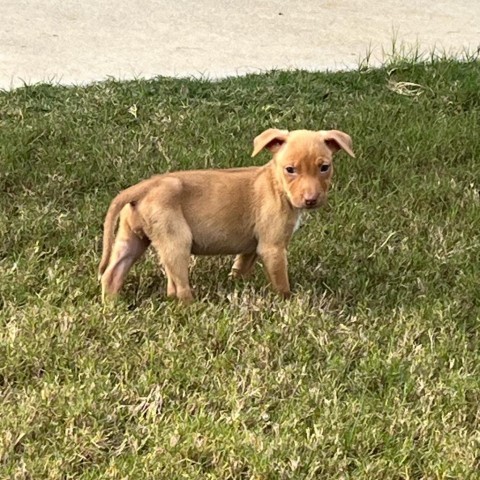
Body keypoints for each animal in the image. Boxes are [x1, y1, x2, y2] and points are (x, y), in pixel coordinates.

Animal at [98, 127, 352, 300]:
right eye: (290, 169)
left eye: (324, 167)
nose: (311, 200)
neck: (276, 185)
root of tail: (145, 186)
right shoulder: (272, 248)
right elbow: (281, 283)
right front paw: (286, 302)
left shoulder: (252, 246)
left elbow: (240, 267)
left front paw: (236, 284)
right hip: (176, 240)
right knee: (178, 286)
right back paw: (190, 307)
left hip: (131, 238)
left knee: (112, 273)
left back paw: (112, 306)